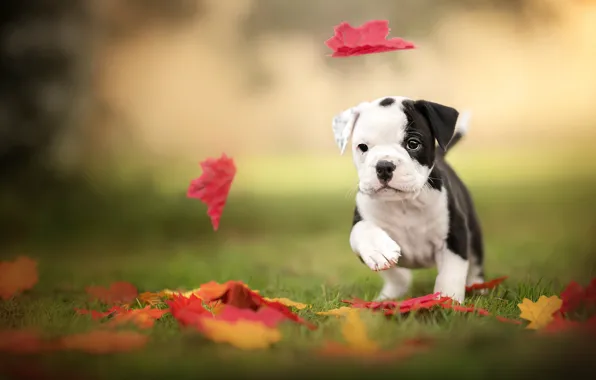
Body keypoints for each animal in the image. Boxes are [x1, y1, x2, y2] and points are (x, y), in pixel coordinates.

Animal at [332, 97, 486, 302]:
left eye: (413, 144)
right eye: (363, 147)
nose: (384, 166)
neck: (404, 203)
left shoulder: (455, 235)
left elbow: (450, 273)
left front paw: (446, 300)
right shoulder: (363, 220)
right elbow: (366, 235)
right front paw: (379, 250)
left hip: (474, 236)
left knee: (475, 266)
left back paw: (479, 289)